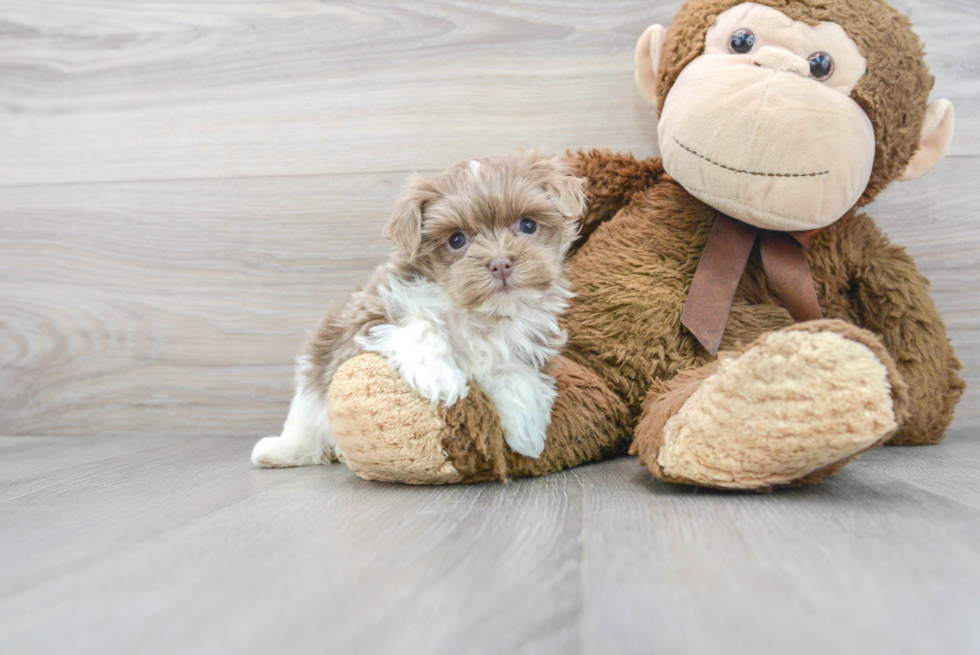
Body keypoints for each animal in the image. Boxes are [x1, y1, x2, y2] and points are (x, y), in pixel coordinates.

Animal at [253, 151, 584, 468]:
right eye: (456, 239)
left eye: (528, 225)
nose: (500, 263)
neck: (478, 313)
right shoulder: (372, 311)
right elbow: (413, 327)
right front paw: (439, 376)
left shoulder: (530, 343)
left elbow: (517, 373)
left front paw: (528, 432)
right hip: (314, 374)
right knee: (307, 421)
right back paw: (280, 451)